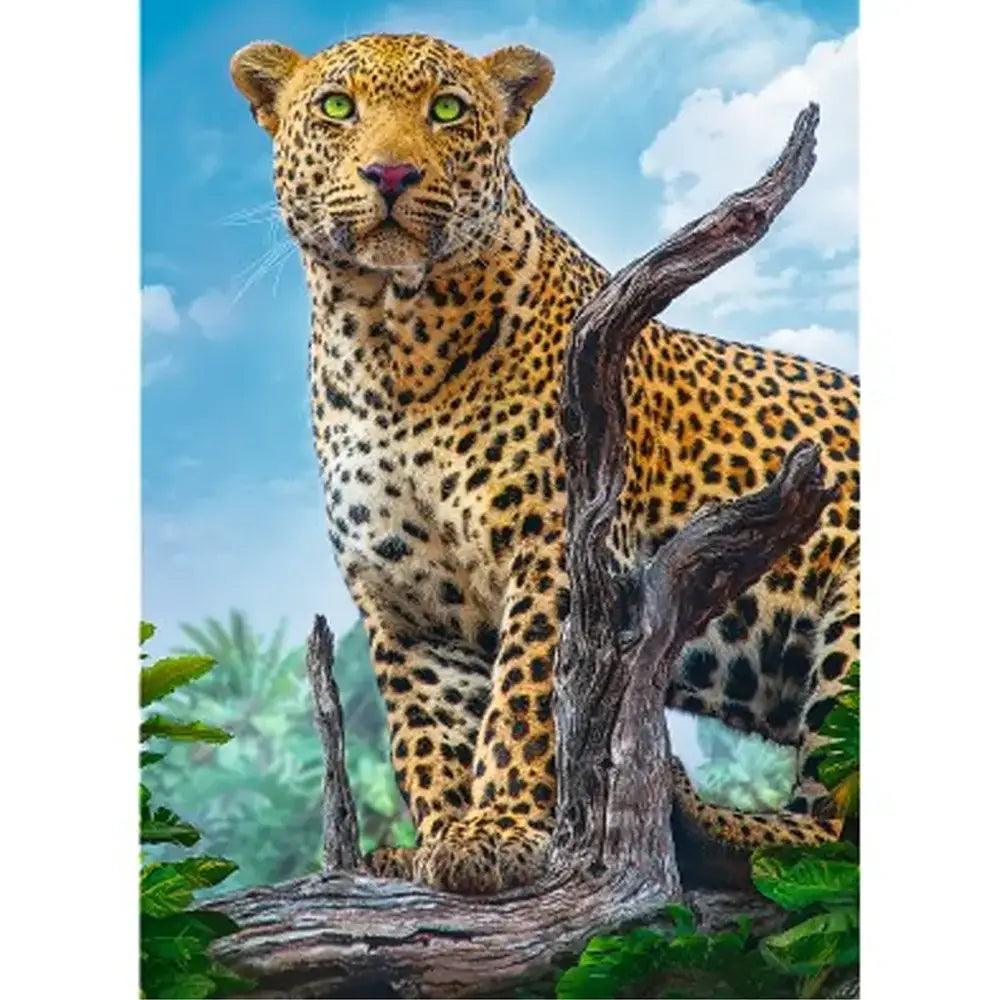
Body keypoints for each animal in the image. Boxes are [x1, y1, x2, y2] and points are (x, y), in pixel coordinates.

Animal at [230, 32, 859, 895]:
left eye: (447, 109)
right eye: (336, 107)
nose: (390, 174)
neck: (388, 342)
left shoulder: (559, 548)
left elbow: (527, 700)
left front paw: (501, 828)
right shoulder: (404, 601)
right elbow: (427, 733)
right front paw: (437, 840)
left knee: (833, 829)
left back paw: (699, 818)